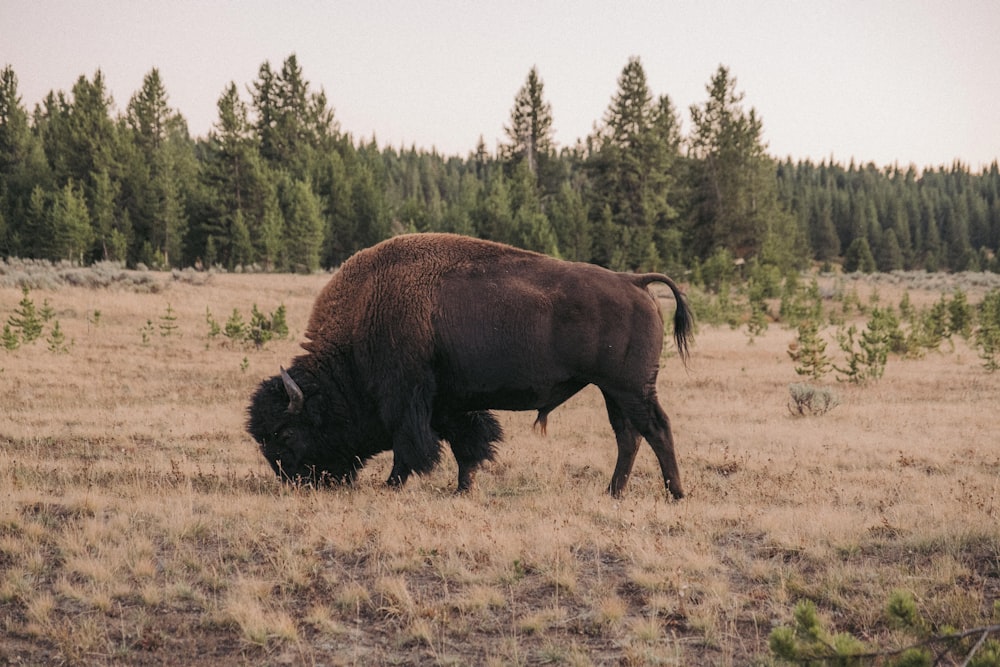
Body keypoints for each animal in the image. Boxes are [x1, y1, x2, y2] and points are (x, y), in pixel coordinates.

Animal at [246, 232, 692, 498]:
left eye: (285, 433)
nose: (294, 480)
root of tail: (634, 281)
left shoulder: (406, 400)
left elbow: (411, 445)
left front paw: (394, 484)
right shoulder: (449, 403)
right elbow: (467, 444)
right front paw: (464, 487)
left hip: (630, 388)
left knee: (656, 429)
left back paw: (675, 493)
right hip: (612, 391)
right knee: (628, 436)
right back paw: (613, 492)